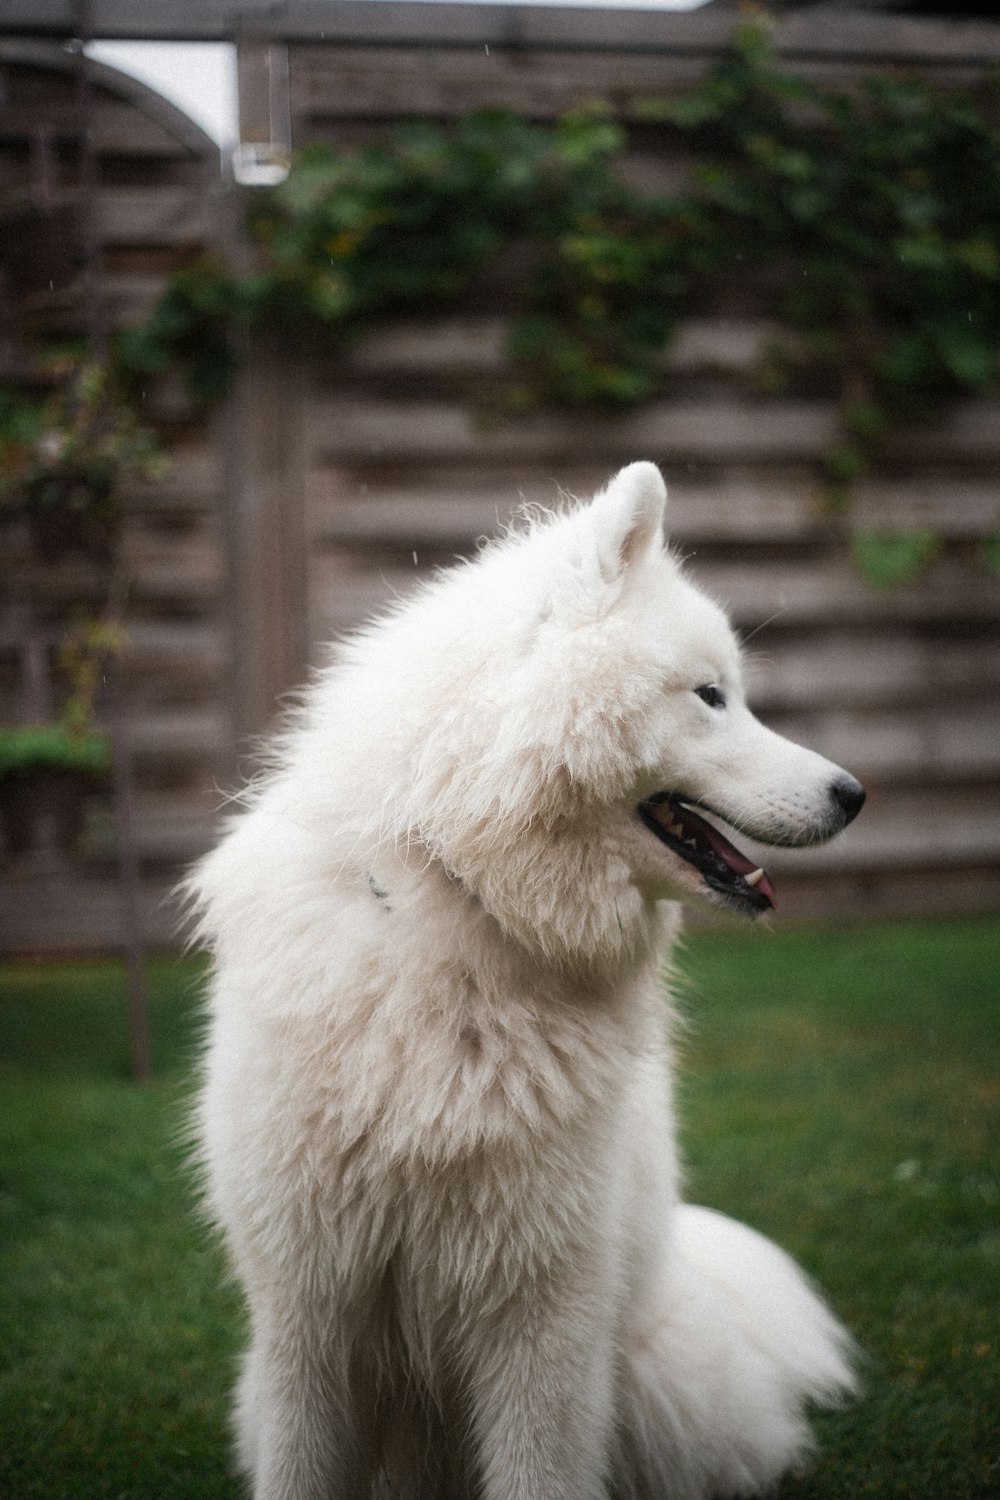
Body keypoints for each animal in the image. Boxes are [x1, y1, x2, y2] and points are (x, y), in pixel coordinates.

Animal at [191, 462, 863, 1494]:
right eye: (710, 695)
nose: (854, 794)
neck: (460, 911)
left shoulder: (543, 1319)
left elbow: (539, 1471)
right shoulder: (311, 1316)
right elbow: (301, 1470)